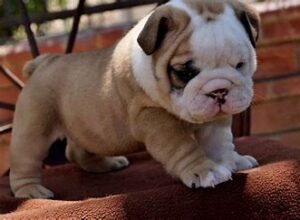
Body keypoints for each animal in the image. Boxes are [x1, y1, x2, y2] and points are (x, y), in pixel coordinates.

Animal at [9, 0, 260, 199]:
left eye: (240, 64)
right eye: (185, 72)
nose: (219, 90)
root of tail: (43, 62)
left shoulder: (214, 119)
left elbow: (220, 141)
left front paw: (232, 161)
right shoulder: (155, 119)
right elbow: (184, 147)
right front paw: (206, 170)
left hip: (85, 128)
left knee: (76, 151)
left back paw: (106, 164)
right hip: (34, 128)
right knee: (25, 161)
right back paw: (31, 191)